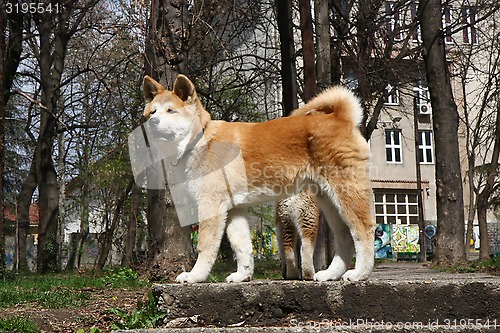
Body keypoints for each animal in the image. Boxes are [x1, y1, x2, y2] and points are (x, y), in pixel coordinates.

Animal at [142, 74, 376, 282]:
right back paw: (331, 274)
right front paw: (242, 275)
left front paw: (195, 276)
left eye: (171, 110)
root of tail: (341, 117)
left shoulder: (210, 204)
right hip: (328, 202)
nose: (152, 122)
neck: (199, 140)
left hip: (345, 195)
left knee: (363, 231)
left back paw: (359, 273)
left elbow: (205, 246)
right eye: (152, 111)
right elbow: (242, 246)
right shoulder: (234, 209)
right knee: (345, 238)